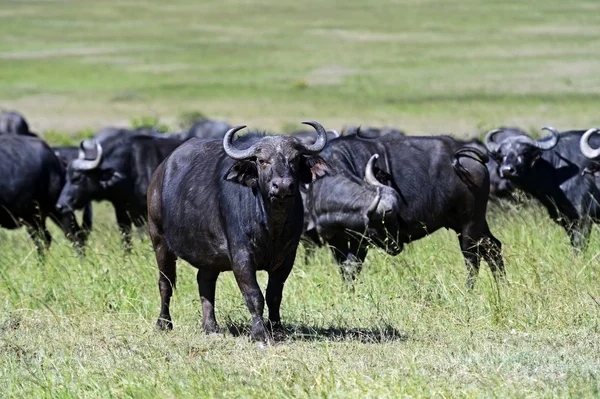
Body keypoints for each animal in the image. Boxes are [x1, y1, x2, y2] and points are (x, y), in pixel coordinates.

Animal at [148, 121, 330, 340]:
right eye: (262, 161)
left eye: (294, 159)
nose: (283, 186)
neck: (271, 226)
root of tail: (159, 173)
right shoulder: (241, 256)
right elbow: (254, 295)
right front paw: (259, 333)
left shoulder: (287, 257)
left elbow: (274, 294)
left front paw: (276, 328)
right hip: (159, 240)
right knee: (165, 283)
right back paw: (163, 323)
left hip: (209, 256)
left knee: (205, 282)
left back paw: (211, 327)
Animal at [304, 133, 502, 290]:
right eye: (384, 223)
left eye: (390, 219)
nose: (396, 244)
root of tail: (462, 154)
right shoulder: (335, 242)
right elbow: (345, 271)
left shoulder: (360, 243)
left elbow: (352, 268)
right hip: (471, 224)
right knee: (493, 247)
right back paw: (502, 285)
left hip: (469, 224)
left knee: (472, 257)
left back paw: (469, 290)